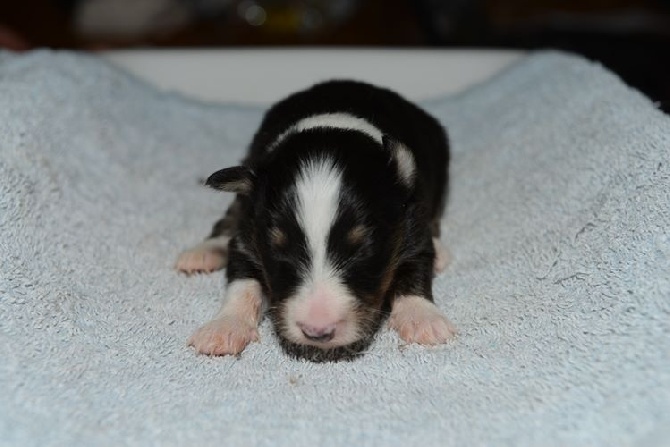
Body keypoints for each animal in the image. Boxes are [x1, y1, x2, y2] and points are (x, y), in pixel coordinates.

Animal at [178, 79, 460, 362]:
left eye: (362, 249)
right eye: (278, 249)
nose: (317, 331)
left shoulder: (412, 224)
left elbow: (415, 269)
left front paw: (422, 318)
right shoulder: (248, 232)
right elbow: (242, 280)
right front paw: (223, 327)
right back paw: (203, 251)